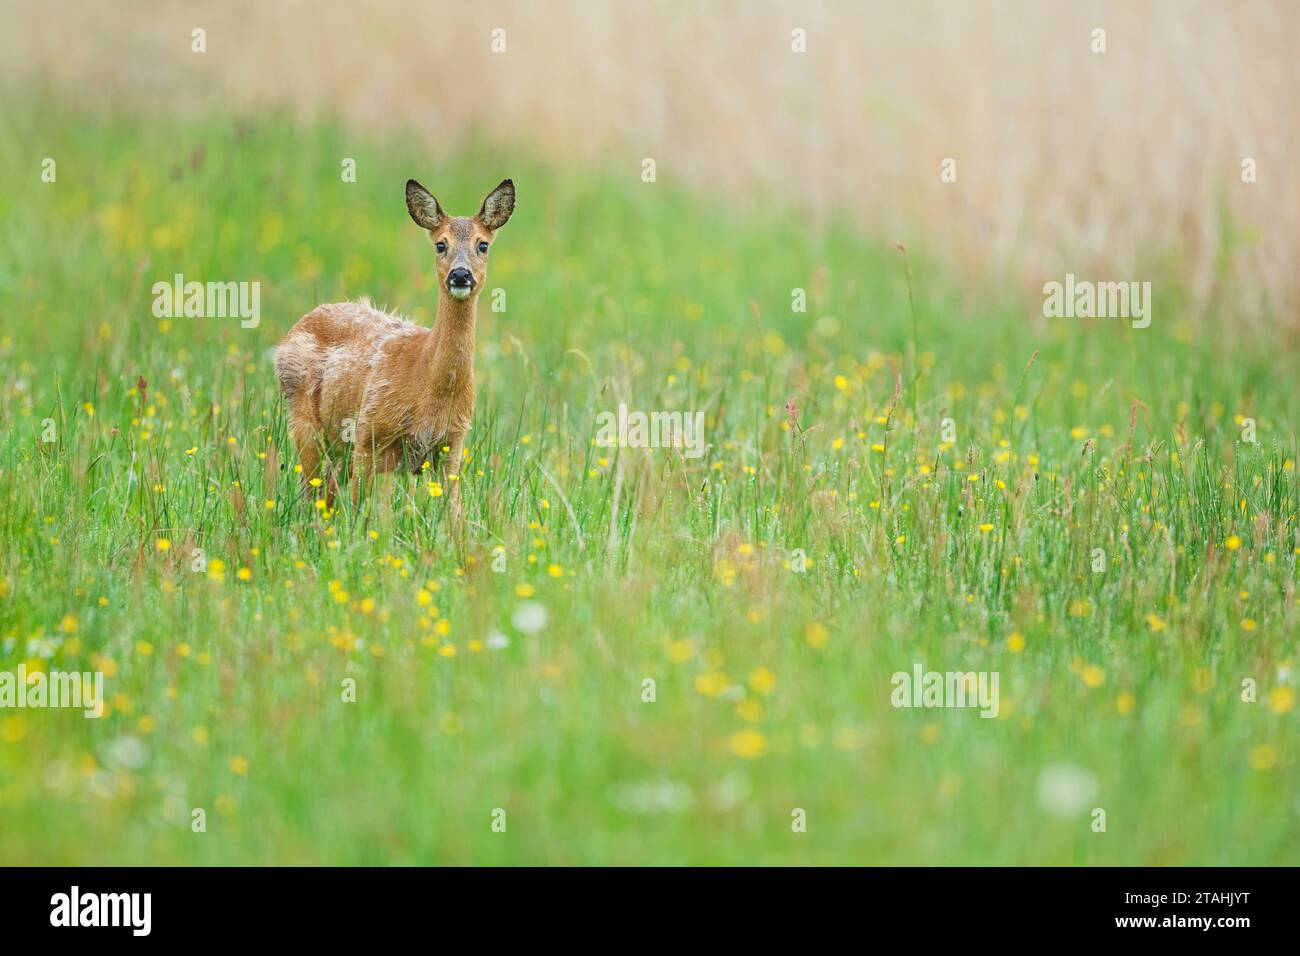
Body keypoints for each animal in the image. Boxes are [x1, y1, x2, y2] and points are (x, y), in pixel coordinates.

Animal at [274, 179, 512, 509]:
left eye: (483, 245)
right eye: (441, 244)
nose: (461, 274)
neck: (429, 381)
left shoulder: (452, 443)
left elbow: (455, 514)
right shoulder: (369, 434)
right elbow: (359, 511)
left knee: (326, 495)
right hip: (304, 419)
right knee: (312, 494)